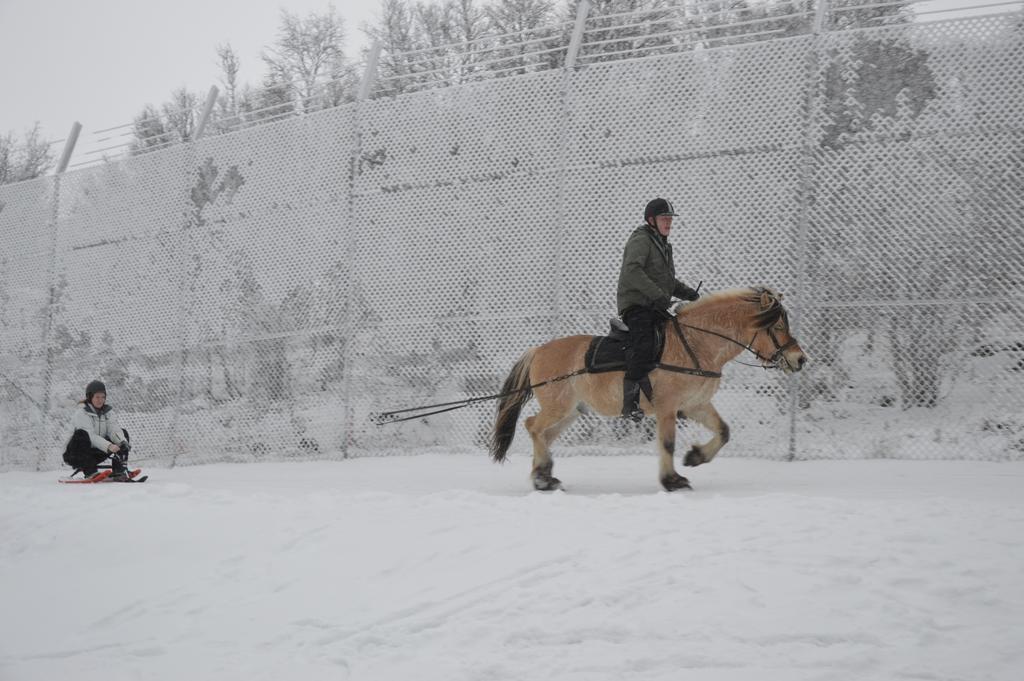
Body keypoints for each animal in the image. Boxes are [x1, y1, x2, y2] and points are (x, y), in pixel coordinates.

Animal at [489, 284, 806, 489]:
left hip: (571, 412)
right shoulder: (667, 408)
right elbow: (667, 443)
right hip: (558, 407)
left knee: (544, 435)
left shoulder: (695, 405)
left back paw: (543, 475)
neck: (695, 344)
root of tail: (538, 350)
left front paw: (695, 457)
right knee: (532, 426)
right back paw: (542, 477)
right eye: (778, 326)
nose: (800, 359)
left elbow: (724, 431)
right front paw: (672, 480)